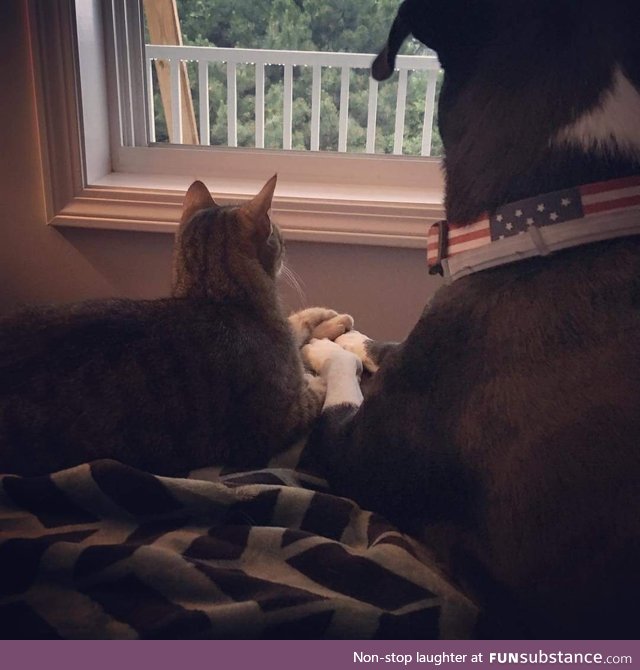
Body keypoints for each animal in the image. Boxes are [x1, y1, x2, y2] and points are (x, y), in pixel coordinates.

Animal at [0, 173, 350, 478]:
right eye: (276, 233)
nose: (286, 243)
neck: (215, 297)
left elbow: (298, 323)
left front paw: (330, 319)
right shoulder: (279, 420)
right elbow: (319, 384)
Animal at [304, 0, 640, 640]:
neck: (556, 219)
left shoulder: (352, 451)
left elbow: (338, 379)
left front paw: (322, 347)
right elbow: (380, 345)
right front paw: (354, 337)